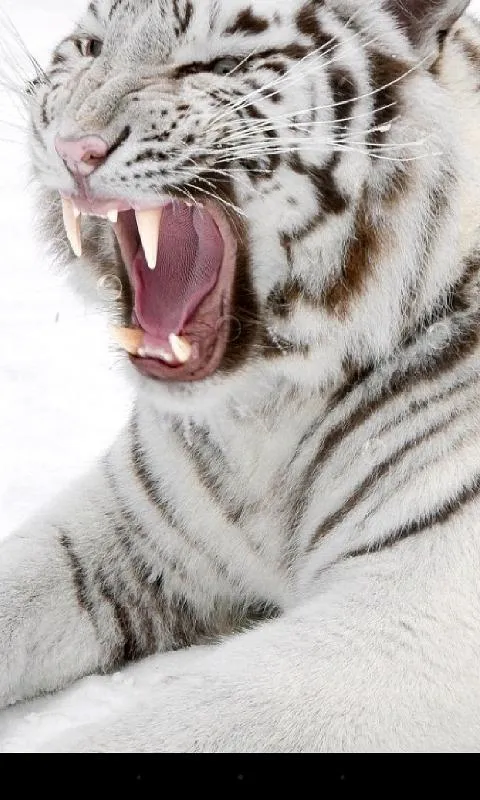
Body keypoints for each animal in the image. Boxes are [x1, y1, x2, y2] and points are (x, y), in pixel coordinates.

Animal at [1, 0, 480, 753]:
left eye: (217, 67)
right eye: (89, 49)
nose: (75, 148)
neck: (264, 415)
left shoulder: (412, 609)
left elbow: (160, 729)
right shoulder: (133, 525)